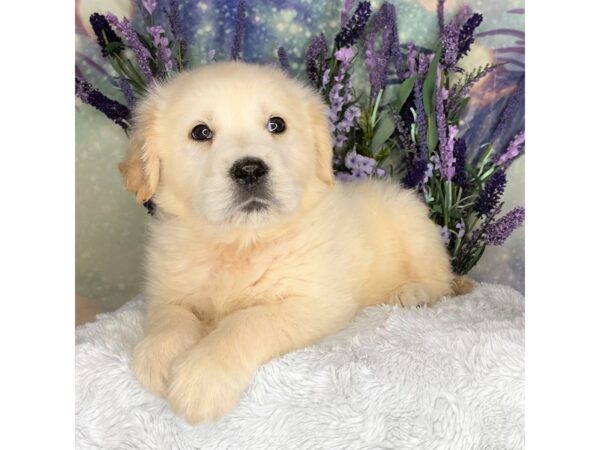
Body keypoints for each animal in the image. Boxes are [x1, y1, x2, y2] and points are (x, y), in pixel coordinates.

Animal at [120, 61, 460, 424]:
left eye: (276, 125)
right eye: (200, 132)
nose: (250, 170)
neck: (241, 242)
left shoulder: (313, 302)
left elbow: (246, 322)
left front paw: (202, 378)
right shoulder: (166, 290)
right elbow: (170, 318)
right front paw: (159, 356)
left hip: (413, 224)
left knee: (442, 280)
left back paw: (412, 292)